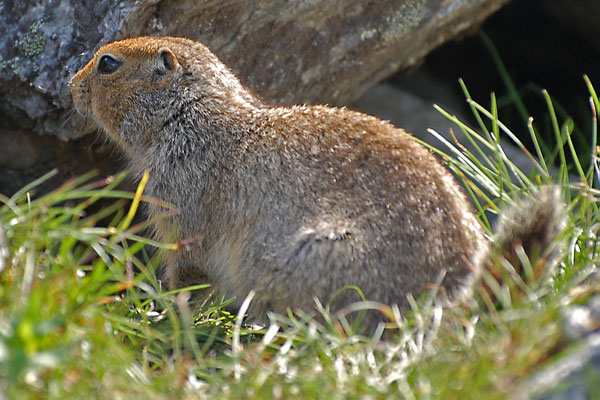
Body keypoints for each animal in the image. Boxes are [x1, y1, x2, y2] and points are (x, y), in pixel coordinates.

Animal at [70, 36, 568, 330]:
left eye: (107, 64)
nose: (70, 84)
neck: (190, 116)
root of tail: (450, 298)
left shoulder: (181, 200)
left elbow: (187, 271)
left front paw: (163, 315)